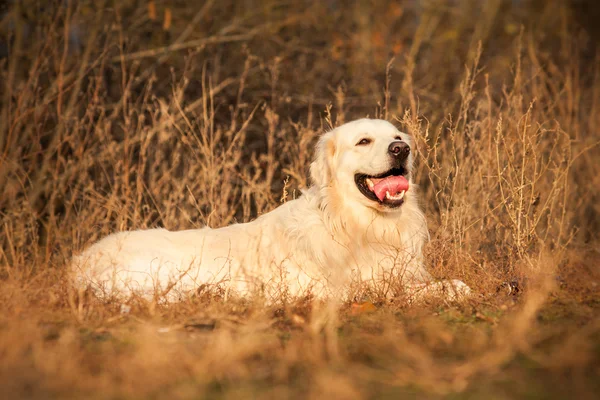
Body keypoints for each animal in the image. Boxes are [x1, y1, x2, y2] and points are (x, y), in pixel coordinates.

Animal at [72, 119, 472, 304]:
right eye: (364, 141)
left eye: (398, 137)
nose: (401, 150)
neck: (353, 223)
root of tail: (76, 266)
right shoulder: (331, 290)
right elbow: (405, 291)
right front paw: (449, 290)